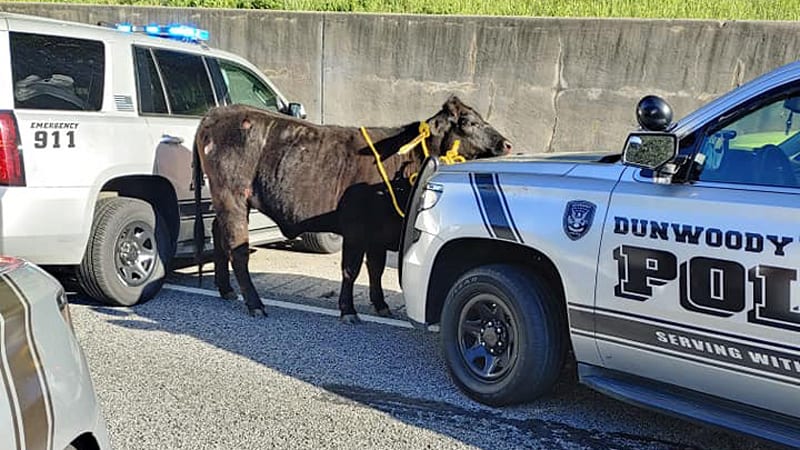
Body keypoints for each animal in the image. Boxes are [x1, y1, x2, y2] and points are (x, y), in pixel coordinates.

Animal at [193, 96, 510, 320]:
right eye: (467, 122)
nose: (507, 144)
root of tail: (217, 112)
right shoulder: (357, 228)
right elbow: (351, 269)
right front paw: (348, 310)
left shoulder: (379, 231)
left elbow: (376, 268)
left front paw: (381, 305)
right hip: (233, 198)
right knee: (238, 250)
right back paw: (254, 304)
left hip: (229, 203)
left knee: (218, 235)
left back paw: (226, 290)